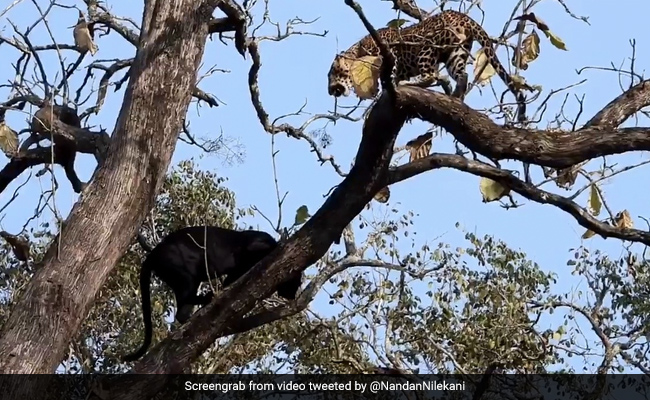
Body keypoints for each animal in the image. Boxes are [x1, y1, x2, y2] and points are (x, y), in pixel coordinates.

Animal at [327, 10, 529, 122]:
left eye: (332, 73)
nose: (330, 91)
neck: (357, 52)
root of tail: (463, 16)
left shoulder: (389, 55)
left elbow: (390, 75)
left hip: (427, 48)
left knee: (431, 75)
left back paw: (412, 84)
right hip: (455, 53)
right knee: (461, 75)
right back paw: (456, 96)